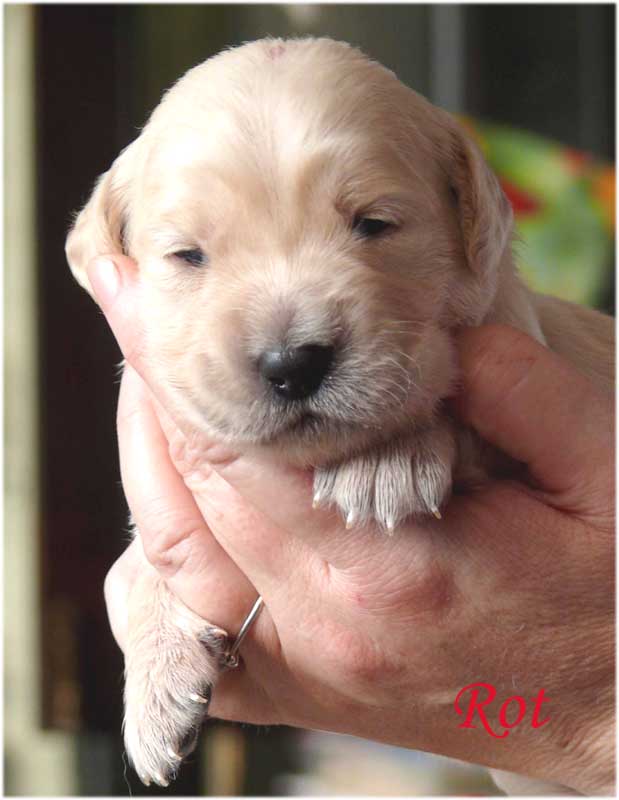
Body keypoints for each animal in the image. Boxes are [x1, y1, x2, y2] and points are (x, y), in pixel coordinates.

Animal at [66, 37, 613, 792]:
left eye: (373, 224)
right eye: (188, 255)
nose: (291, 363)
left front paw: (382, 458)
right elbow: (145, 558)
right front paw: (156, 686)